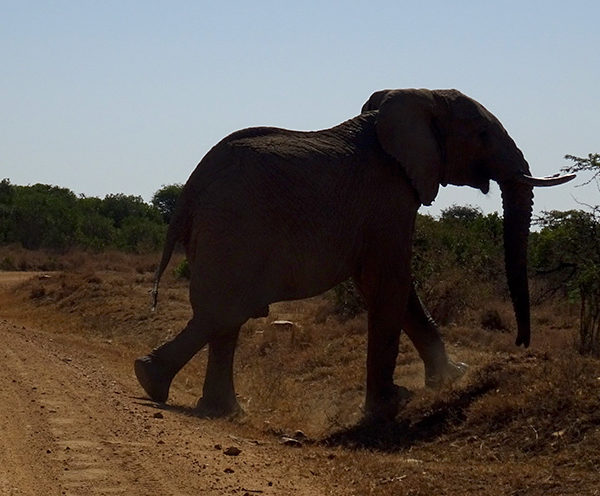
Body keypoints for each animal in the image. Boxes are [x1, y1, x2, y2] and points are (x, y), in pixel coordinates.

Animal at [135, 88, 574, 420]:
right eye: (482, 133)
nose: (521, 343)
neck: (413, 97)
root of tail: (191, 188)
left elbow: (395, 289)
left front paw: (454, 377)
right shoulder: (388, 195)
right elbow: (390, 283)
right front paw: (391, 404)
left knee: (224, 317)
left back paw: (214, 408)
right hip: (234, 228)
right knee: (224, 312)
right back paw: (152, 381)